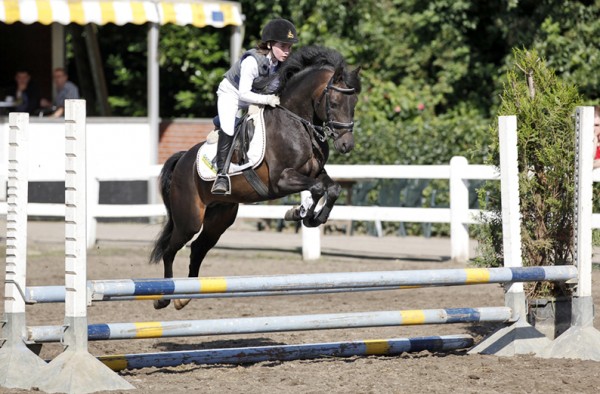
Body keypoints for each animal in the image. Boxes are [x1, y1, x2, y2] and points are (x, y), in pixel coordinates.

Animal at [151, 46, 360, 310]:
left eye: (354, 102)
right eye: (333, 102)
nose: (346, 145)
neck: (297, 122)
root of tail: (182, 160)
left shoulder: (315, 173)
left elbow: (330, 189)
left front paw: (307, 215)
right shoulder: (282, 180)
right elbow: (318, 189)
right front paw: (302, 213)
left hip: (220, 217)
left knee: (198, 248)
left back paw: (186, 296)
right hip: (189, 219)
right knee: (171, 250)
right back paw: (165, 298)